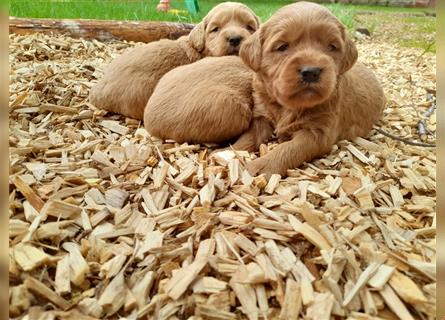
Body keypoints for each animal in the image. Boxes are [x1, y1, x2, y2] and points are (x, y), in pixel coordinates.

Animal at [232, 1, 386, 176]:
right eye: (282, 46)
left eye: (332, 46)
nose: (311, 72)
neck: (288, 106)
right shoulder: (262, 117)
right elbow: (248, 138)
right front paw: (225, 153)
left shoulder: (318, 132)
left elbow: (290, 149)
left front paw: (262, 166)